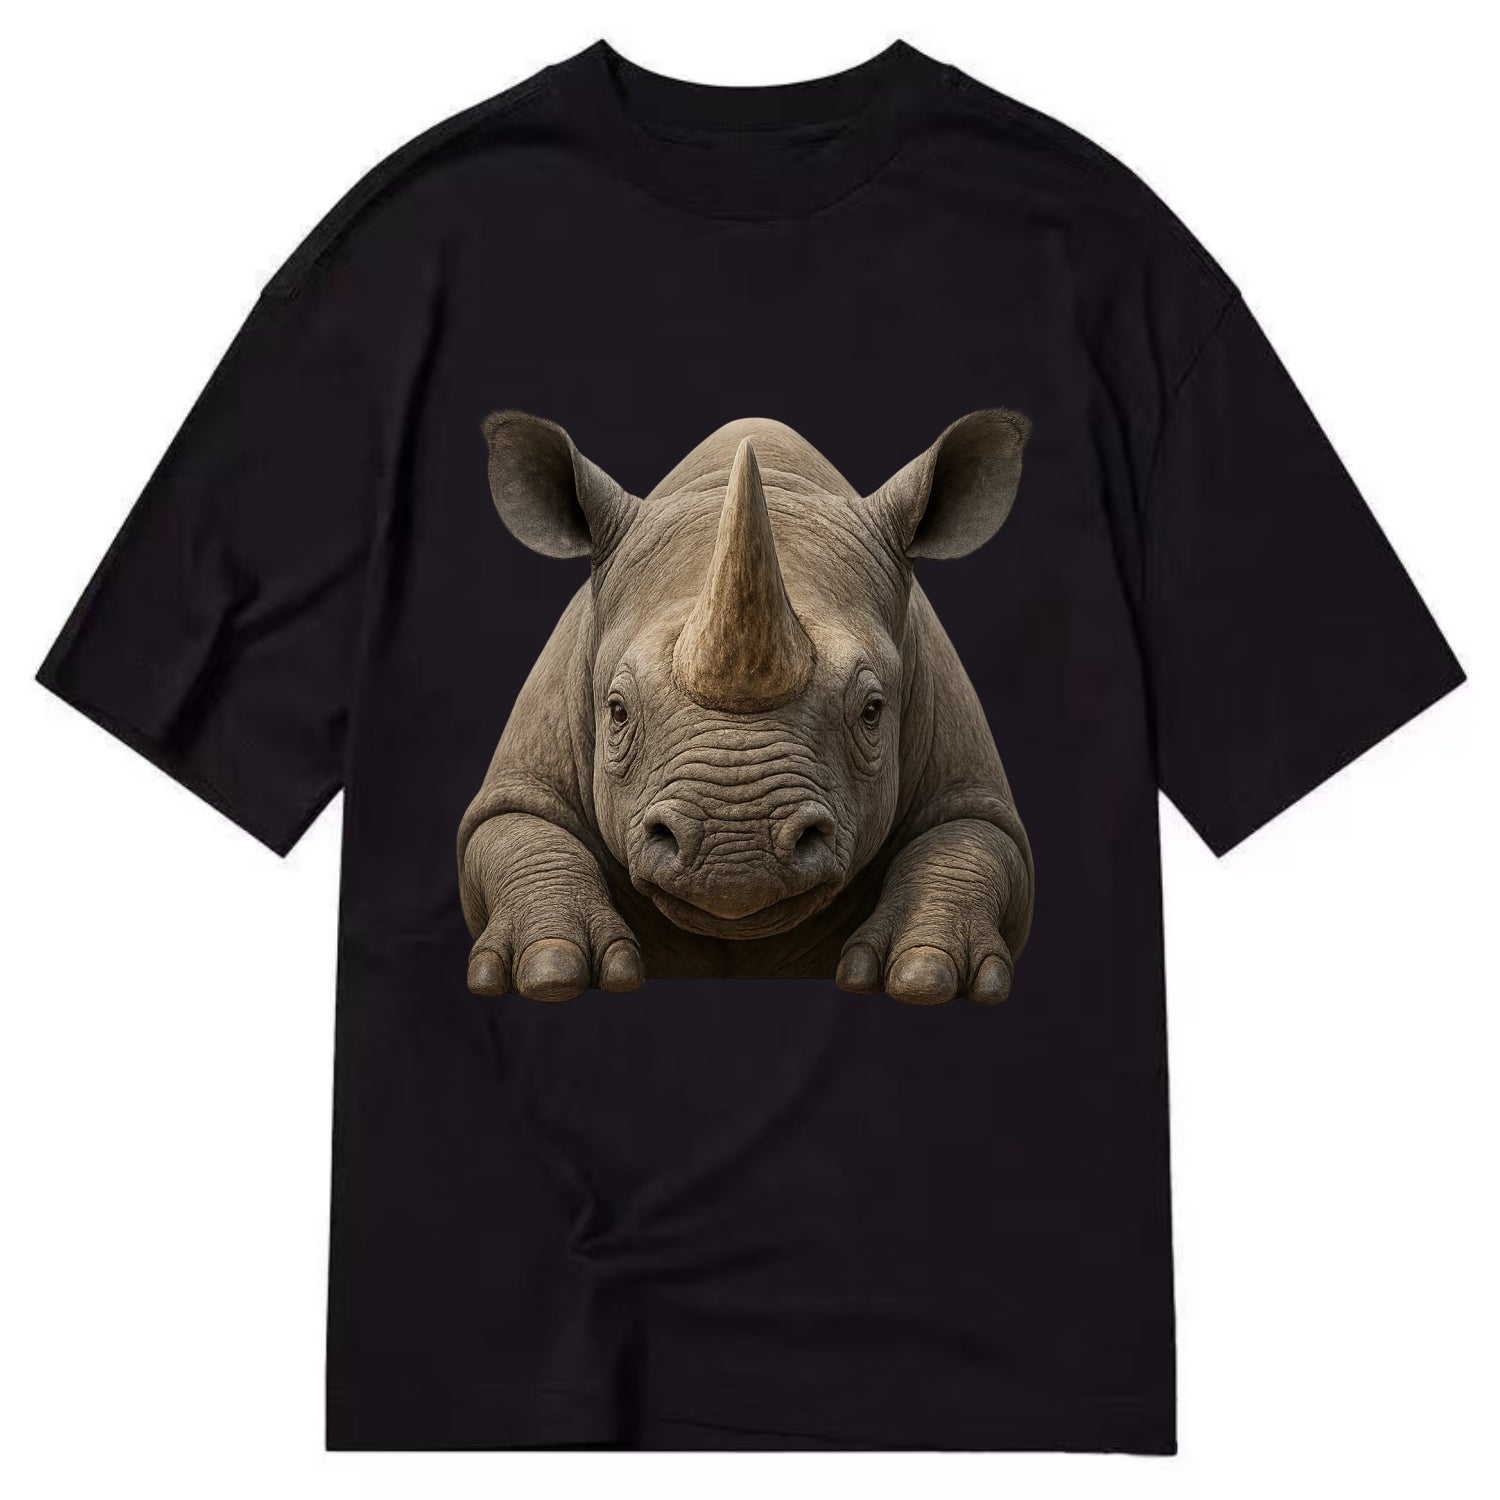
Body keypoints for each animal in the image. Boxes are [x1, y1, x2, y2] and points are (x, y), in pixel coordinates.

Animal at [457, 410, 1035, 1006]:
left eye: (872, 711)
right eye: (617, 712)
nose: (736, 852)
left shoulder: (966, 778)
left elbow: (972, 840)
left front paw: (925, 975)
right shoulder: (523, 777)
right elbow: (516, 829)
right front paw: (550, 970)